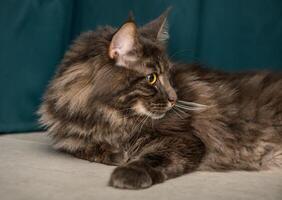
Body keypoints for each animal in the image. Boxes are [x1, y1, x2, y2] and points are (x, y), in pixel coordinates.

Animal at [38, 8, 282, 189]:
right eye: (152, 78)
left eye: (169, 76)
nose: (174, 98)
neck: (110, 117)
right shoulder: (71, 138)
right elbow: (82, 148)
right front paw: (113, 153)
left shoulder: (184, 139)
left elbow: (153, 157)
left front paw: (128, 172)